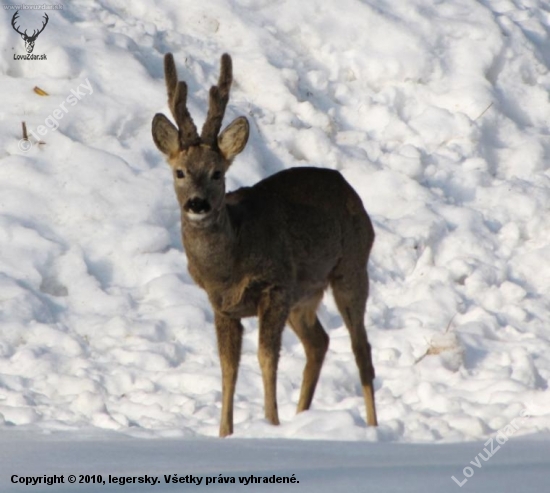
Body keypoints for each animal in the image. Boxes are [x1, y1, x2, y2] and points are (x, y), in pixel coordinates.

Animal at [152, 52, 380, 434]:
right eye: (179, 172)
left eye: (217, 173)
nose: (197, 204)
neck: (230, 263)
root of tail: (351, 191)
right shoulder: (221, 305)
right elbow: (228, 367)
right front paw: (225, 432)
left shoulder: (276, 287)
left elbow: (266, 357)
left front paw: (270, 422)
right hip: (305, 294)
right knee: (319, 343)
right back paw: (303, 418)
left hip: (350, 267)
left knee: (360, 347)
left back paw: (372, 426)